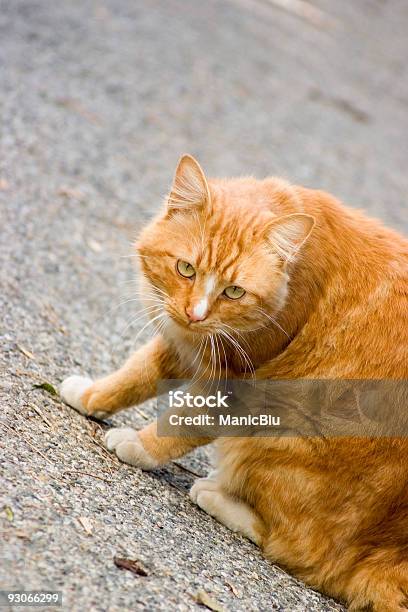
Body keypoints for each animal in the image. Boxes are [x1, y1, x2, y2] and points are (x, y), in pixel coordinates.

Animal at [60, 155, 408, 608]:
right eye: (186, 269)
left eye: (235, 292)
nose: (196, 313)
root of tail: (383, 553)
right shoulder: (185, 345)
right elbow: (137, 373)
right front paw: (91, 396)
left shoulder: (231, 386)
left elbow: (180, 422)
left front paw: (139, 445)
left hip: (273, 436)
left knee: (305, 553)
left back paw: (215, 495)